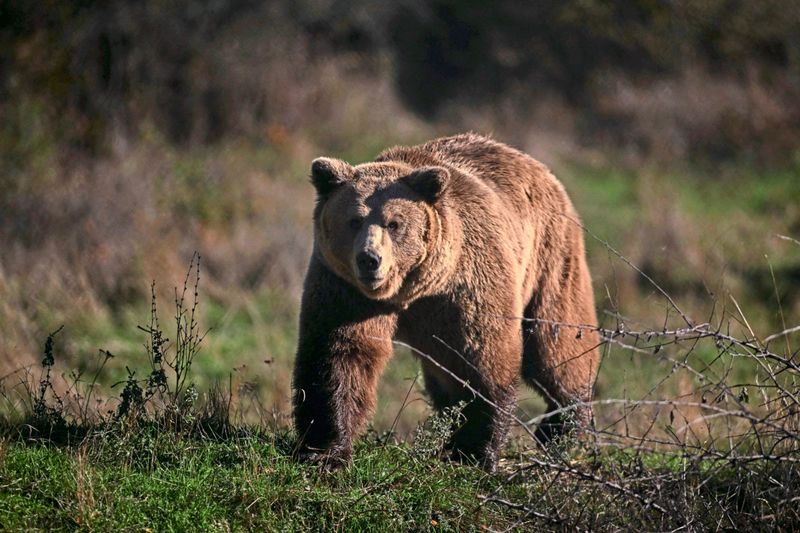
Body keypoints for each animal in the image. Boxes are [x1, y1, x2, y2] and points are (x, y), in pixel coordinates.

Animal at [292, 133, 600, 471]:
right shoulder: (345, 288)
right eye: (354, 220)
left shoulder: (465, 288)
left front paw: (473, 449)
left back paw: (562, 428)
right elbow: (340, 354)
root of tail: (539, 167)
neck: (410, 290)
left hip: (550, 260)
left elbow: (482, 358)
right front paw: (326, 449)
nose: (369, 259)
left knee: (557, 346)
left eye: (394, 223)